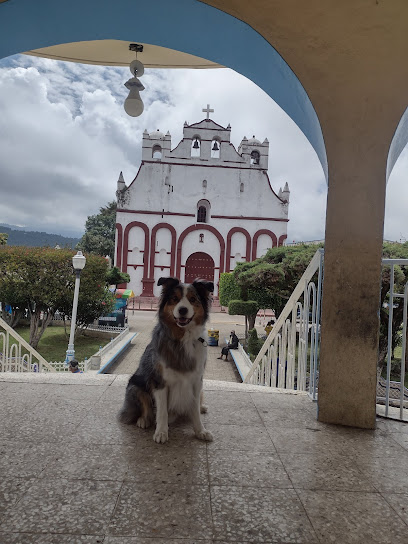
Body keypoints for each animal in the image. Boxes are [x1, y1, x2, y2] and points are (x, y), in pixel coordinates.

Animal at [118, 276, 214, 442]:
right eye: (174, 299)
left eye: (193, 299)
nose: (182, 310)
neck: (183, 339)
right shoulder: (160, 382)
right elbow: (162, 411)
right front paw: (161, 433)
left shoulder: (196, 381)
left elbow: (194, 409)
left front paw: (200, 431)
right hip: (135, 385)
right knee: (147, 408)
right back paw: (144, 420)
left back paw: (202, 407)